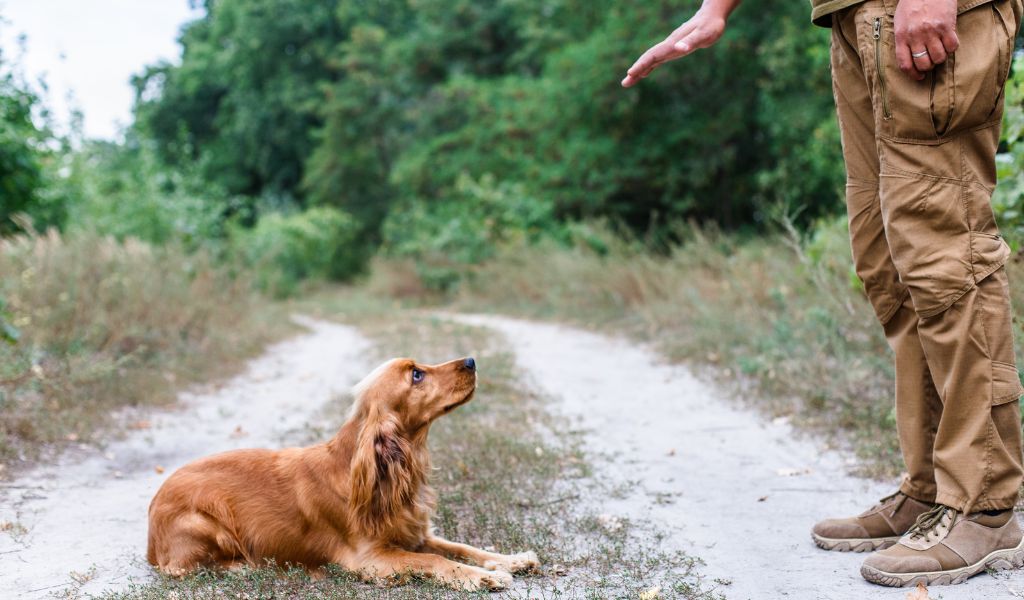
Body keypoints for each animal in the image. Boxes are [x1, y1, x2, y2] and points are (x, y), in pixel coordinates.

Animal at [149, 354, 544, 589]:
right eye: (417, 375)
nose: (471, 360)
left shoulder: (415, 533)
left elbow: (461, 546)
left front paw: (509, 560)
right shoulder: (370, 557)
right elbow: (434, 559)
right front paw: (483, 577)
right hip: (206, 524)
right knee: (186, 568)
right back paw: (248, 566)